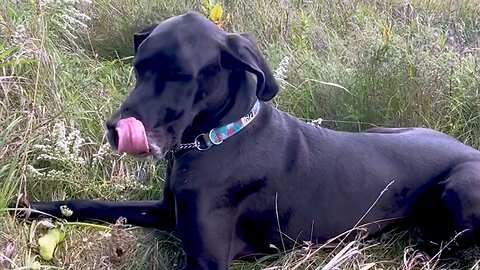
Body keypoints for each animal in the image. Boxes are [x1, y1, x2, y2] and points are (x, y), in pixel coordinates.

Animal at [24, 12, 480, 270]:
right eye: (139, 68)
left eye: (181, 76)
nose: (115, 128)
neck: (216, 138)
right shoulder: (166, 210)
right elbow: (84, 203)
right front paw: (25, 206)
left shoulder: (207, 259)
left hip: (461, 187)